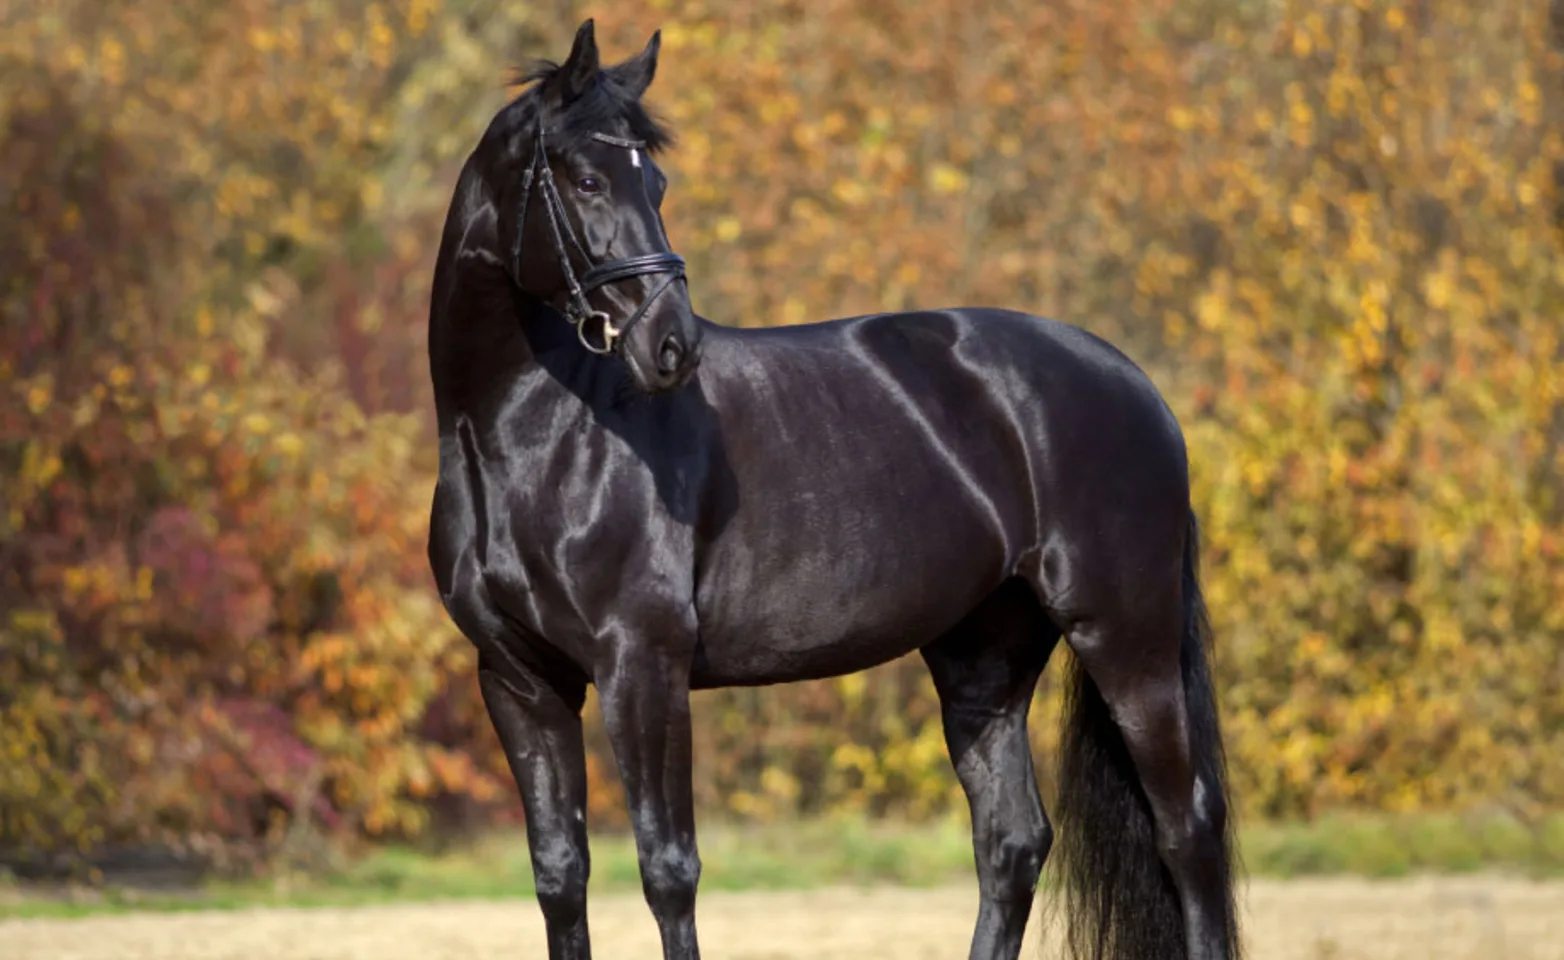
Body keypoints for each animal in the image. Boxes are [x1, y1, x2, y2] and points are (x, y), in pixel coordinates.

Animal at [426, 19, 1241, 960]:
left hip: (1126, 639)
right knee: (1012, 841)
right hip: (984, 656)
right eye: (587, 179)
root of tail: (1139, 388)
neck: (532, 436)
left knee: (1186, 830)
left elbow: (668, 870)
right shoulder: (520, 679)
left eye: (654, 181)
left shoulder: (642, 667)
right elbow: (561, 877)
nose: (672, 346)